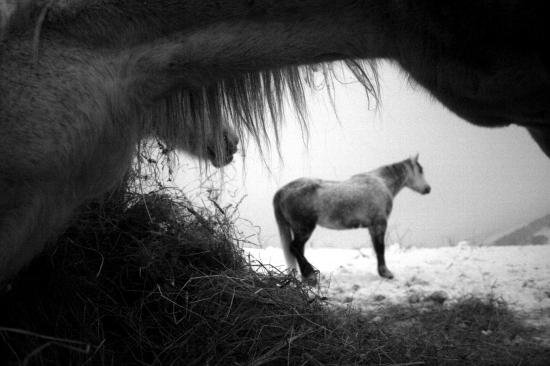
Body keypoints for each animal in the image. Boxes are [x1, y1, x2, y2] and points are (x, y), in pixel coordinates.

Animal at [274, 156, 434, 282]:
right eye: (420, 170)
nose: (428, 189)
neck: (382, 183)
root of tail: (282, 191)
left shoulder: (372, 227)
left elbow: (377, 248)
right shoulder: (379, 224)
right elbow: (380, 248)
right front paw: (386, 273)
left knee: (299, 249)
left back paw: (307, 276)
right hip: (304, 228)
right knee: (295, 247)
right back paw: (310, 274)